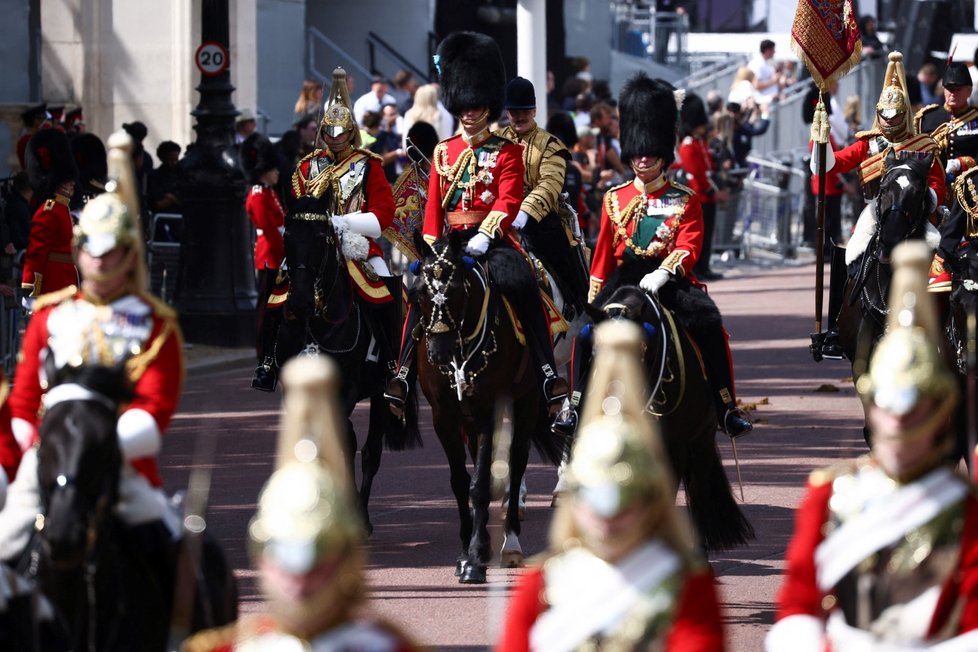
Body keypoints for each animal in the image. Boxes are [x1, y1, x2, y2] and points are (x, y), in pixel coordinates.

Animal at [274, 201, 416, 532]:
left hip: (380, 393)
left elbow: (346, 441)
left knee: (370, 451)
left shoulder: (347, 388)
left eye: (321, 238)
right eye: (287, 237)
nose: (299, 303)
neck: (316, 326)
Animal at [414, 232, 564, 584]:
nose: (438, 353)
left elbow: (480, 486)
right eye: (421, 292)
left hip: (527, 403)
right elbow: (460, 482)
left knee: (518, 461)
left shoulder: (488, 412)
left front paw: (474, 559)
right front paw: (464, 552)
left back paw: (511, 543)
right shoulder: (444, 418)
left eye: (455, 290)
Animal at [568, 288, 752, 552]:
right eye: (595, 351)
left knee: (699, 485)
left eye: (636, 351)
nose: (612, 405)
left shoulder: (674, 445)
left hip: (701, 438)